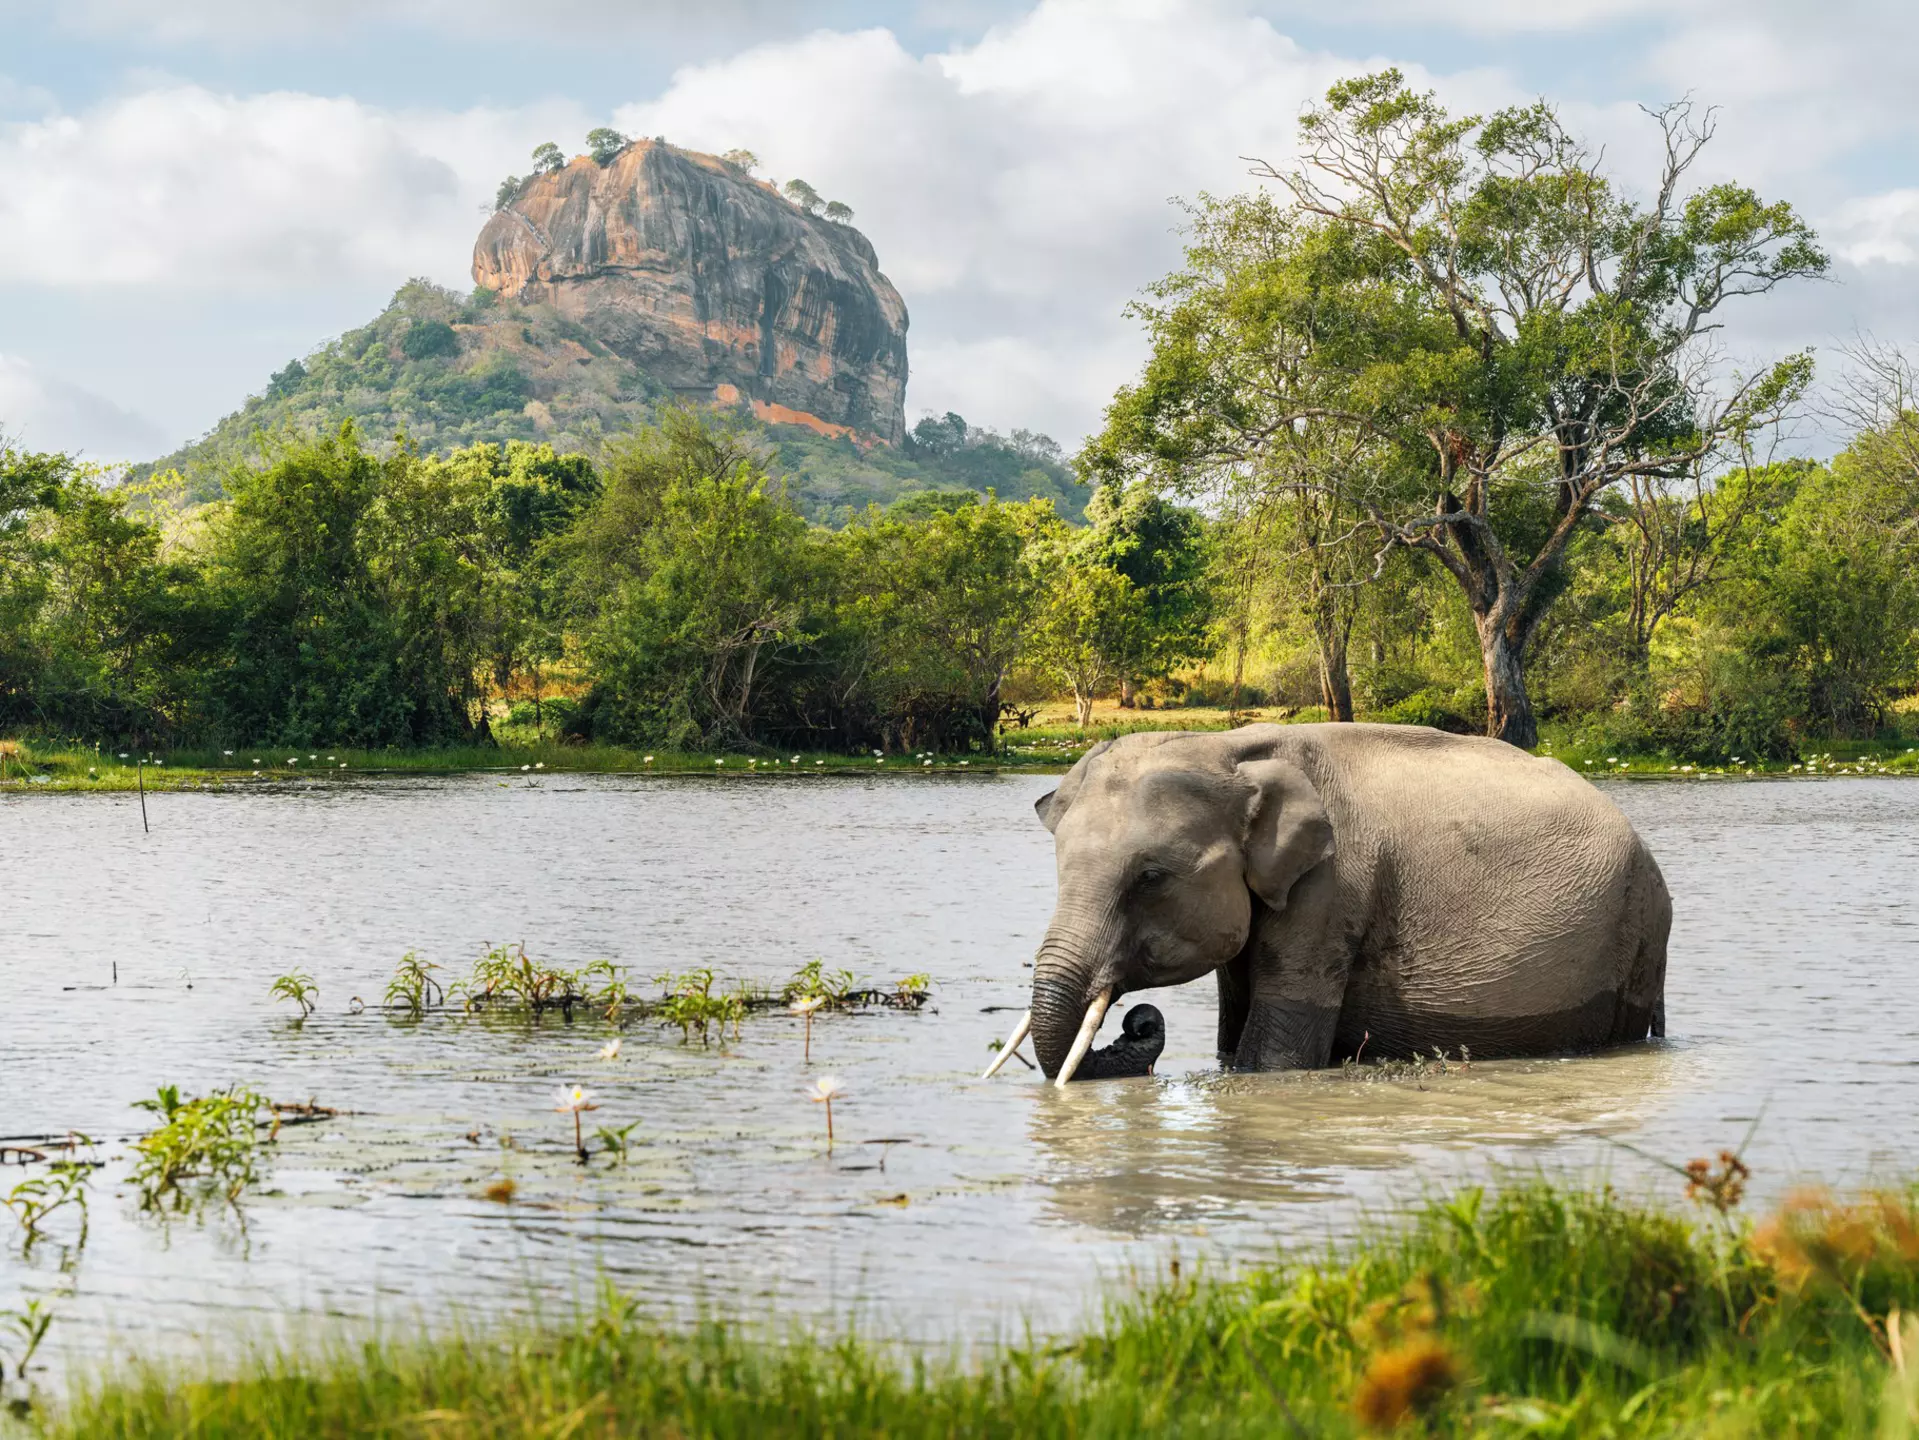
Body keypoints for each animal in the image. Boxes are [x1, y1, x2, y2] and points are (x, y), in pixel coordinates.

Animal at [989, 723, 1670, 1083]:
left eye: (1150, 876)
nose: (1140, 1020)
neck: (1230, 749)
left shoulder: (1332, 888)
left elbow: (1273, 1058)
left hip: (1638, 933)